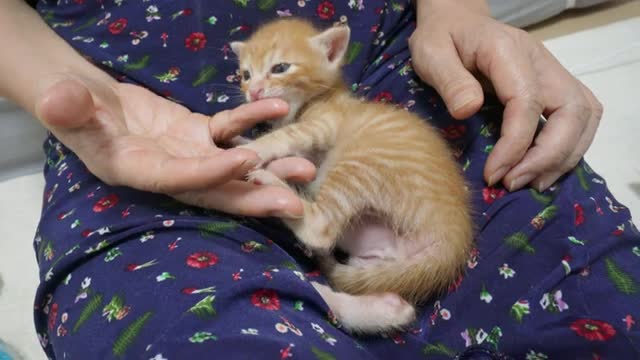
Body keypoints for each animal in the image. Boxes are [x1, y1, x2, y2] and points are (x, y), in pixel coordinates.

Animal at [232, 19, 472, 334]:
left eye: (280, 68)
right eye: (246, 74)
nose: (255, 92)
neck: (321, 98)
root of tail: (454, 239)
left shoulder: (323, 123)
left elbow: (284, 136)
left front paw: (252, 149)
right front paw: (238, 139)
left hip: (359, 164)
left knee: (320, 231)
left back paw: (272, 184)